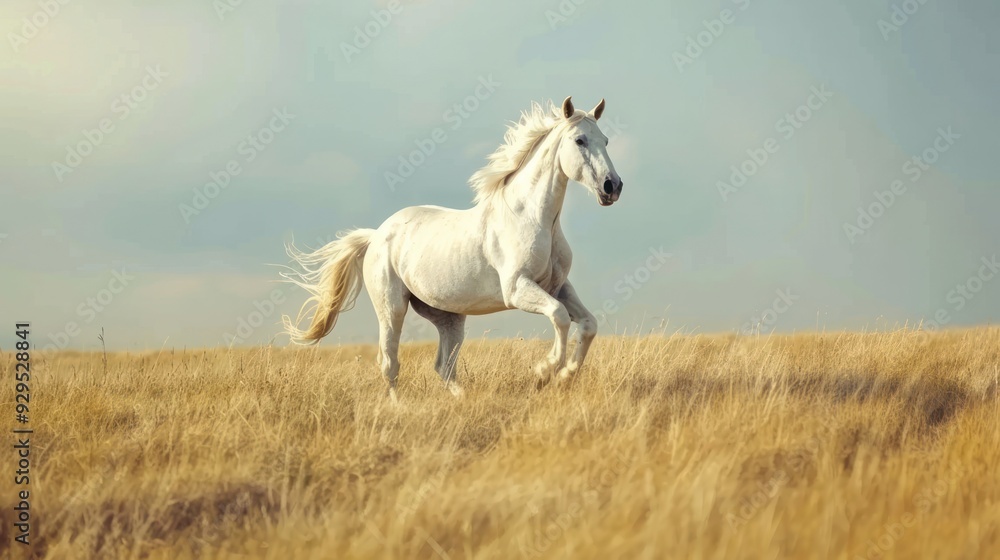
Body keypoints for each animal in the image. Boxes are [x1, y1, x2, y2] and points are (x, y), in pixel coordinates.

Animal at [281, 96, 624, 401]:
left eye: (605, 141)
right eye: (579, 140)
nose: (613, 187)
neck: (530, 218)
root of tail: (377, 235)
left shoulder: (558, 286)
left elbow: (588, 324)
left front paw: (565, 375)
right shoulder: (517, 289)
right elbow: (560, 316)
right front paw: (545, 372)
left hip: (449, 318)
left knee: (444, 367)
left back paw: (463, 400)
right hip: (392, 309)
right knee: (389, 363)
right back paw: (398, 408)